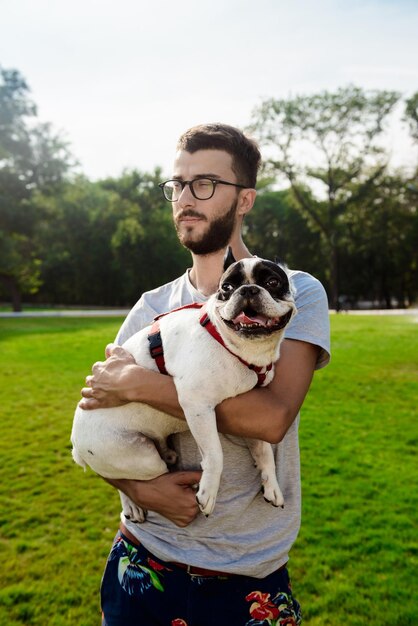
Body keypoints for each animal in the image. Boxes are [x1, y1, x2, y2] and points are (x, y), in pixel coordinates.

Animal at [70, 251, 296, 520]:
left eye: (272, 282)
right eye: (226, 288)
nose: (248, 290)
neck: (238, 348)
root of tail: (75, 444)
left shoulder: (252, 418)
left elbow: (264, 453)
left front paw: (271, 486)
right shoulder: (197, 404)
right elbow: (215, 454)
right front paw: (208, 492)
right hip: (137, 458)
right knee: (127, 480)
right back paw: (132, 504)